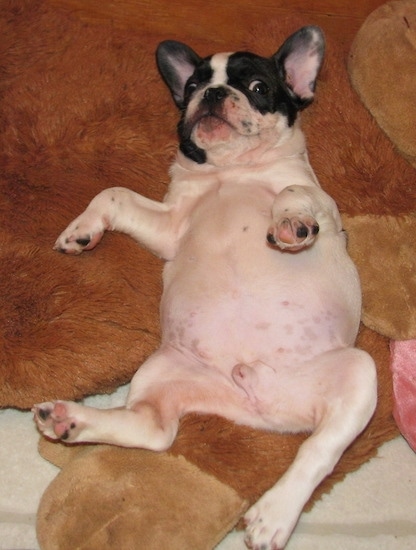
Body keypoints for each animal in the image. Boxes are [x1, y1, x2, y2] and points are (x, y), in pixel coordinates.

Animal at [32, 28, 376, 548]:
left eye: (257, 87)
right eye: (193, 85)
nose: (212, 93)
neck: (229, 171)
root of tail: (257, 410)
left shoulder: (325, 206)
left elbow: (293, 193)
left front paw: (289, 222)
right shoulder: (171, 226)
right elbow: (114, 194)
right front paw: (82, 229)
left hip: (360, 372)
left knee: (320, 448)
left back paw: (274, 514)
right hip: (162, 370)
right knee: (154, 430)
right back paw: (69, 419)